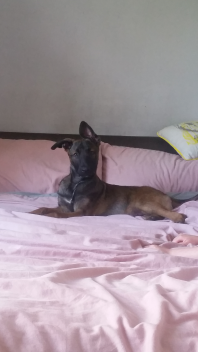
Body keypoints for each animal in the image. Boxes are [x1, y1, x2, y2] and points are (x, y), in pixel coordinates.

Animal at [30, 121, 192, 223]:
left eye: (91, 152)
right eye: (75, 154)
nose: (85, 169)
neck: (76, 184)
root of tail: (166, 195)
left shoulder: (81, 212)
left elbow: (55, 213)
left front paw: (49, 215)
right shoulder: (64, 206)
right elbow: (44, 208)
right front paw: (31, 213)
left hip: (145, 202)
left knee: (171, 213)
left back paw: (178, 218)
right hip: (135, 209)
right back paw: (152, 218)